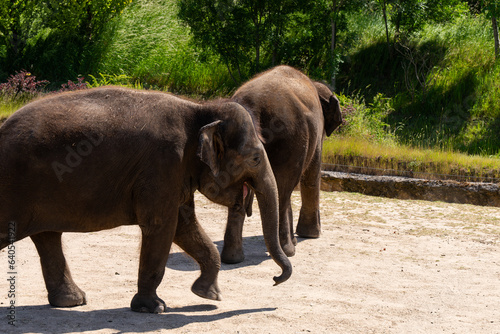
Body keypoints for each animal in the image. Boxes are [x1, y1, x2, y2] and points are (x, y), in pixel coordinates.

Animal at [0, 85, 292, 314]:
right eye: (255, 158)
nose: (275, 279)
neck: (199, 110)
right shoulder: (163, 163)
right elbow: (162, 226)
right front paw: (153, 308)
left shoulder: (175, 173)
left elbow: (184, 226)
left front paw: (209, 295)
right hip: (14, 188)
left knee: (48, 237)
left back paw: (73, 302)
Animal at [221, 65, 342, 264]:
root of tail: (253, 108)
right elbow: (312, 175)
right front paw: (311, 235)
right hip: (290, 136)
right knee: (283, 190)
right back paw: (289, 250)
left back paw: (232, 259)